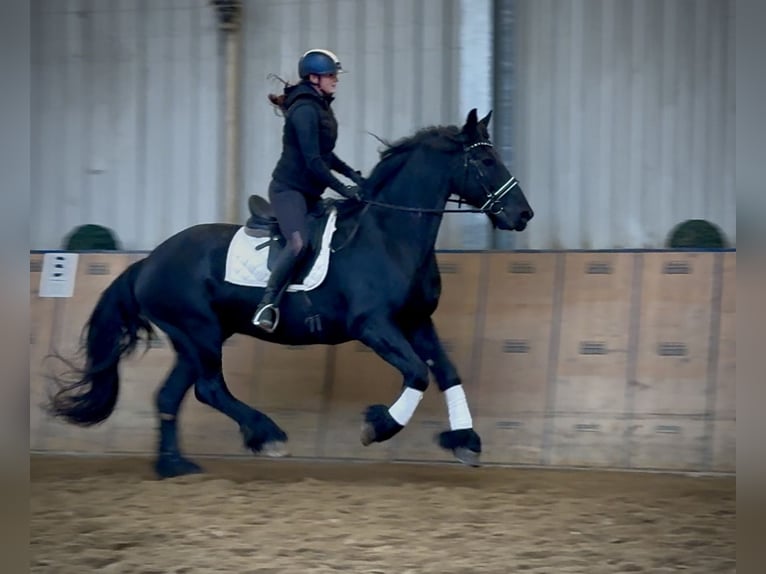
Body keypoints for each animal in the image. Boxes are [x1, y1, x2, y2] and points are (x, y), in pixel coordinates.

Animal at [46, 108, 534, 479]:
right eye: (486, 161)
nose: (523, 214)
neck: (389, 235)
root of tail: (148, 262)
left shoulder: (416, 321)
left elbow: (447, 373)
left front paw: (466, 440)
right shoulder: (373, 325)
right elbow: (416, 373)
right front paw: (378, 426)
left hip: (196, 339)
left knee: (171, 396)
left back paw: (175, 466)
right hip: (198, 332)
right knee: (208, 388)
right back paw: (267, 435)